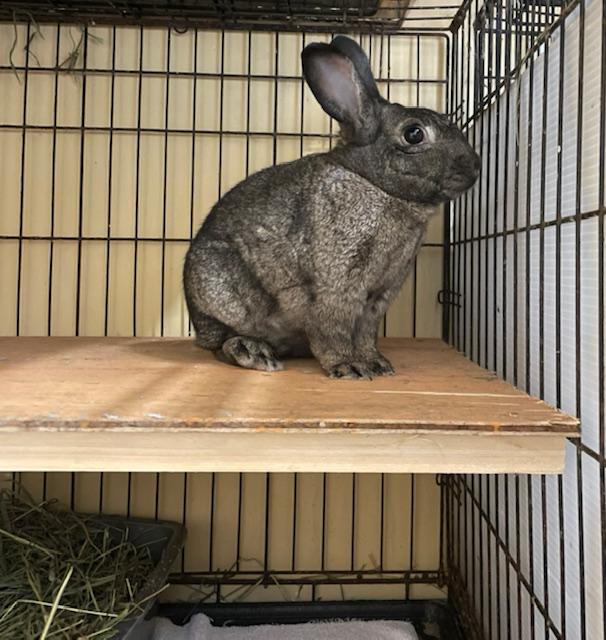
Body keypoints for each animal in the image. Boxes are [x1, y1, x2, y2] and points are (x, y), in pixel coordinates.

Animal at [183, 35, 480, 379]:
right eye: (414, 133)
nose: (475, 167)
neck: (375, 185)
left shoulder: (378, 297)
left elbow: (365, 333)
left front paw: (377, 364)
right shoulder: (336, 284)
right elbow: (333, 329)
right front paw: (348, 366)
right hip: (222, 295)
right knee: (220, 343)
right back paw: (253, 352)